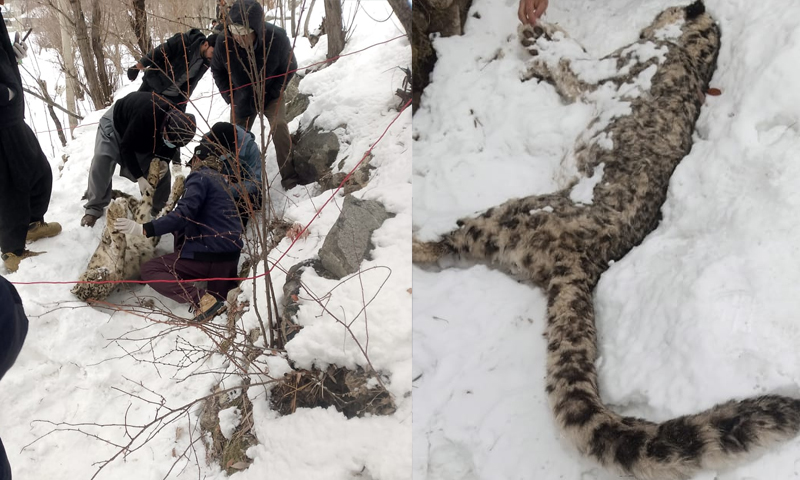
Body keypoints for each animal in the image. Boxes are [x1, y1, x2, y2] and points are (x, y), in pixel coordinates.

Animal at [72, 159, 186, 302]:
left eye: (91, 279)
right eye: (96, 286)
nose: (104, 273)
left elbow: (109, 235)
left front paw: (116, 211)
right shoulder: (118, 271)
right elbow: (120, 242)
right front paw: (116, 211)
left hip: (142, 217)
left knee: (149, 194)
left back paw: (161, 171)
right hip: (147, 226)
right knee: (157, 206)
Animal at [414, 2, 800, 479]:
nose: (684, 8)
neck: (687, 52)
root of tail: (585, 261)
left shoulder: (604, 69)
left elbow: (572, 60)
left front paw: (538, 38)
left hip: (509, 215)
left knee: (449, 242)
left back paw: (416, 236)